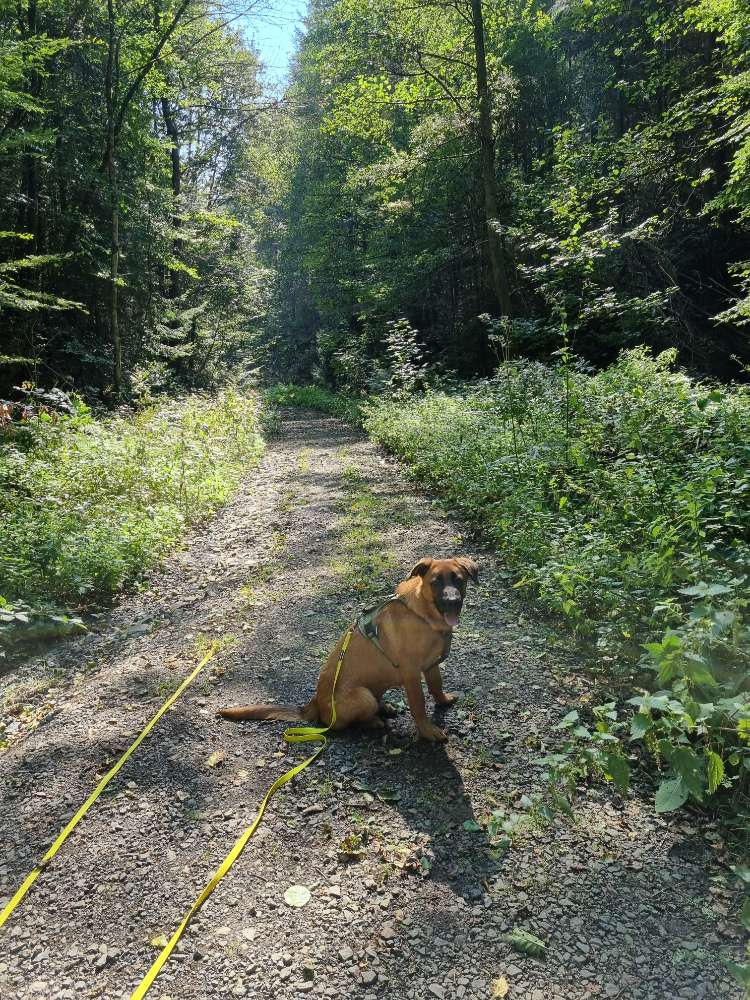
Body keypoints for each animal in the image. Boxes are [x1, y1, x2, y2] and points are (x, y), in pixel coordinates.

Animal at [220, 556, 482, 744]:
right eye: (435, 582)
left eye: (459, 579)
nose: (452, 602)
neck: (423, 614)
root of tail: (314, 704)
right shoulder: (411, 673)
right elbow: (418, 706)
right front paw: (427, 732)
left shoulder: (431, 665)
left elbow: (436, 685)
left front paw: (443, 700)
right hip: (362, 696)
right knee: (345, 724)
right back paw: (374, 721)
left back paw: (384, 707)